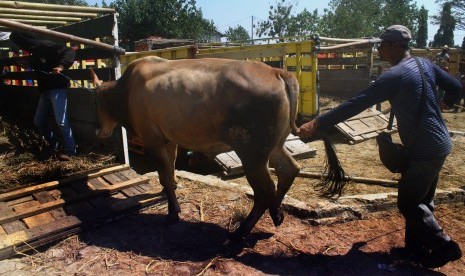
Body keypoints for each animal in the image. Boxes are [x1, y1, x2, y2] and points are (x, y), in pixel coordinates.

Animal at [93, 56, 300, 242]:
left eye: (96, 102)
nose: (98, 131)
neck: (125, 91)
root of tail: (277, 72)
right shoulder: (169, 139)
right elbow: (169, 172)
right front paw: (171, 201)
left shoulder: (152, 140)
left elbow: (164, 176)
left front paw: (172, 213)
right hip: (275, 145)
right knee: (289, 169)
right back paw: (276, 213)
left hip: (252, 152)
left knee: (265, 190)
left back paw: (240, 233)